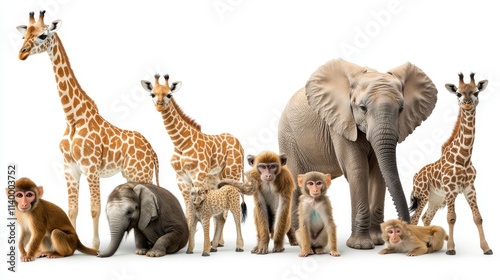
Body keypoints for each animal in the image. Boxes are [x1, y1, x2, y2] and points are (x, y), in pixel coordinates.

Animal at [16, 10, 159, 249]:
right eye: (23, 35)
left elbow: (94, 209)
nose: (21, 53)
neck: (72, 118)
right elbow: (72, 209)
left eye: (43, 35)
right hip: (131, 175)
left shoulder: (91, 167)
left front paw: (95, 246)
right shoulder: (70, 168)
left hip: (142, 172)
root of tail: (153, 151)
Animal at [141, 73, 244, 248]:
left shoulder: (198, 175)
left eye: (169, 94)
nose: (160, 105)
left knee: (229, 209)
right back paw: (218, 242)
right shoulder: (181, 179)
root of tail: (240, 145)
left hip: (232, 173)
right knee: (220, 208)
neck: (180, 143)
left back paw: (232, 244)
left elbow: (200, 209)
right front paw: (190, 244)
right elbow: (189, 210)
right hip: (215, 178)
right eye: (152, 94)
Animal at [280, 58, 440, 249]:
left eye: (401, 109)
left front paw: (378, 240)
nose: (413, 203)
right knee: (295, 186)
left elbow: (378, 173)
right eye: (362, 108)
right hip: (288, 139)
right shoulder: (342, 122)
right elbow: (357, 170)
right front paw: (360, 245)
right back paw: (298, 241)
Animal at [408, 72, 494, 256]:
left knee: (426, 217)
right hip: (422, 195)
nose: (467, 104)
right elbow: (452, 218)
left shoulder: (470, 188)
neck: (464, 157)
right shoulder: (450, 189)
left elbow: (478, 217)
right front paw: (451, 249)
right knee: (414, 218)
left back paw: (429, 246)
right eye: (458, 94)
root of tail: (416, 175)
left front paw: (486, 248)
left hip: (435, 199)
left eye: (476, 92)